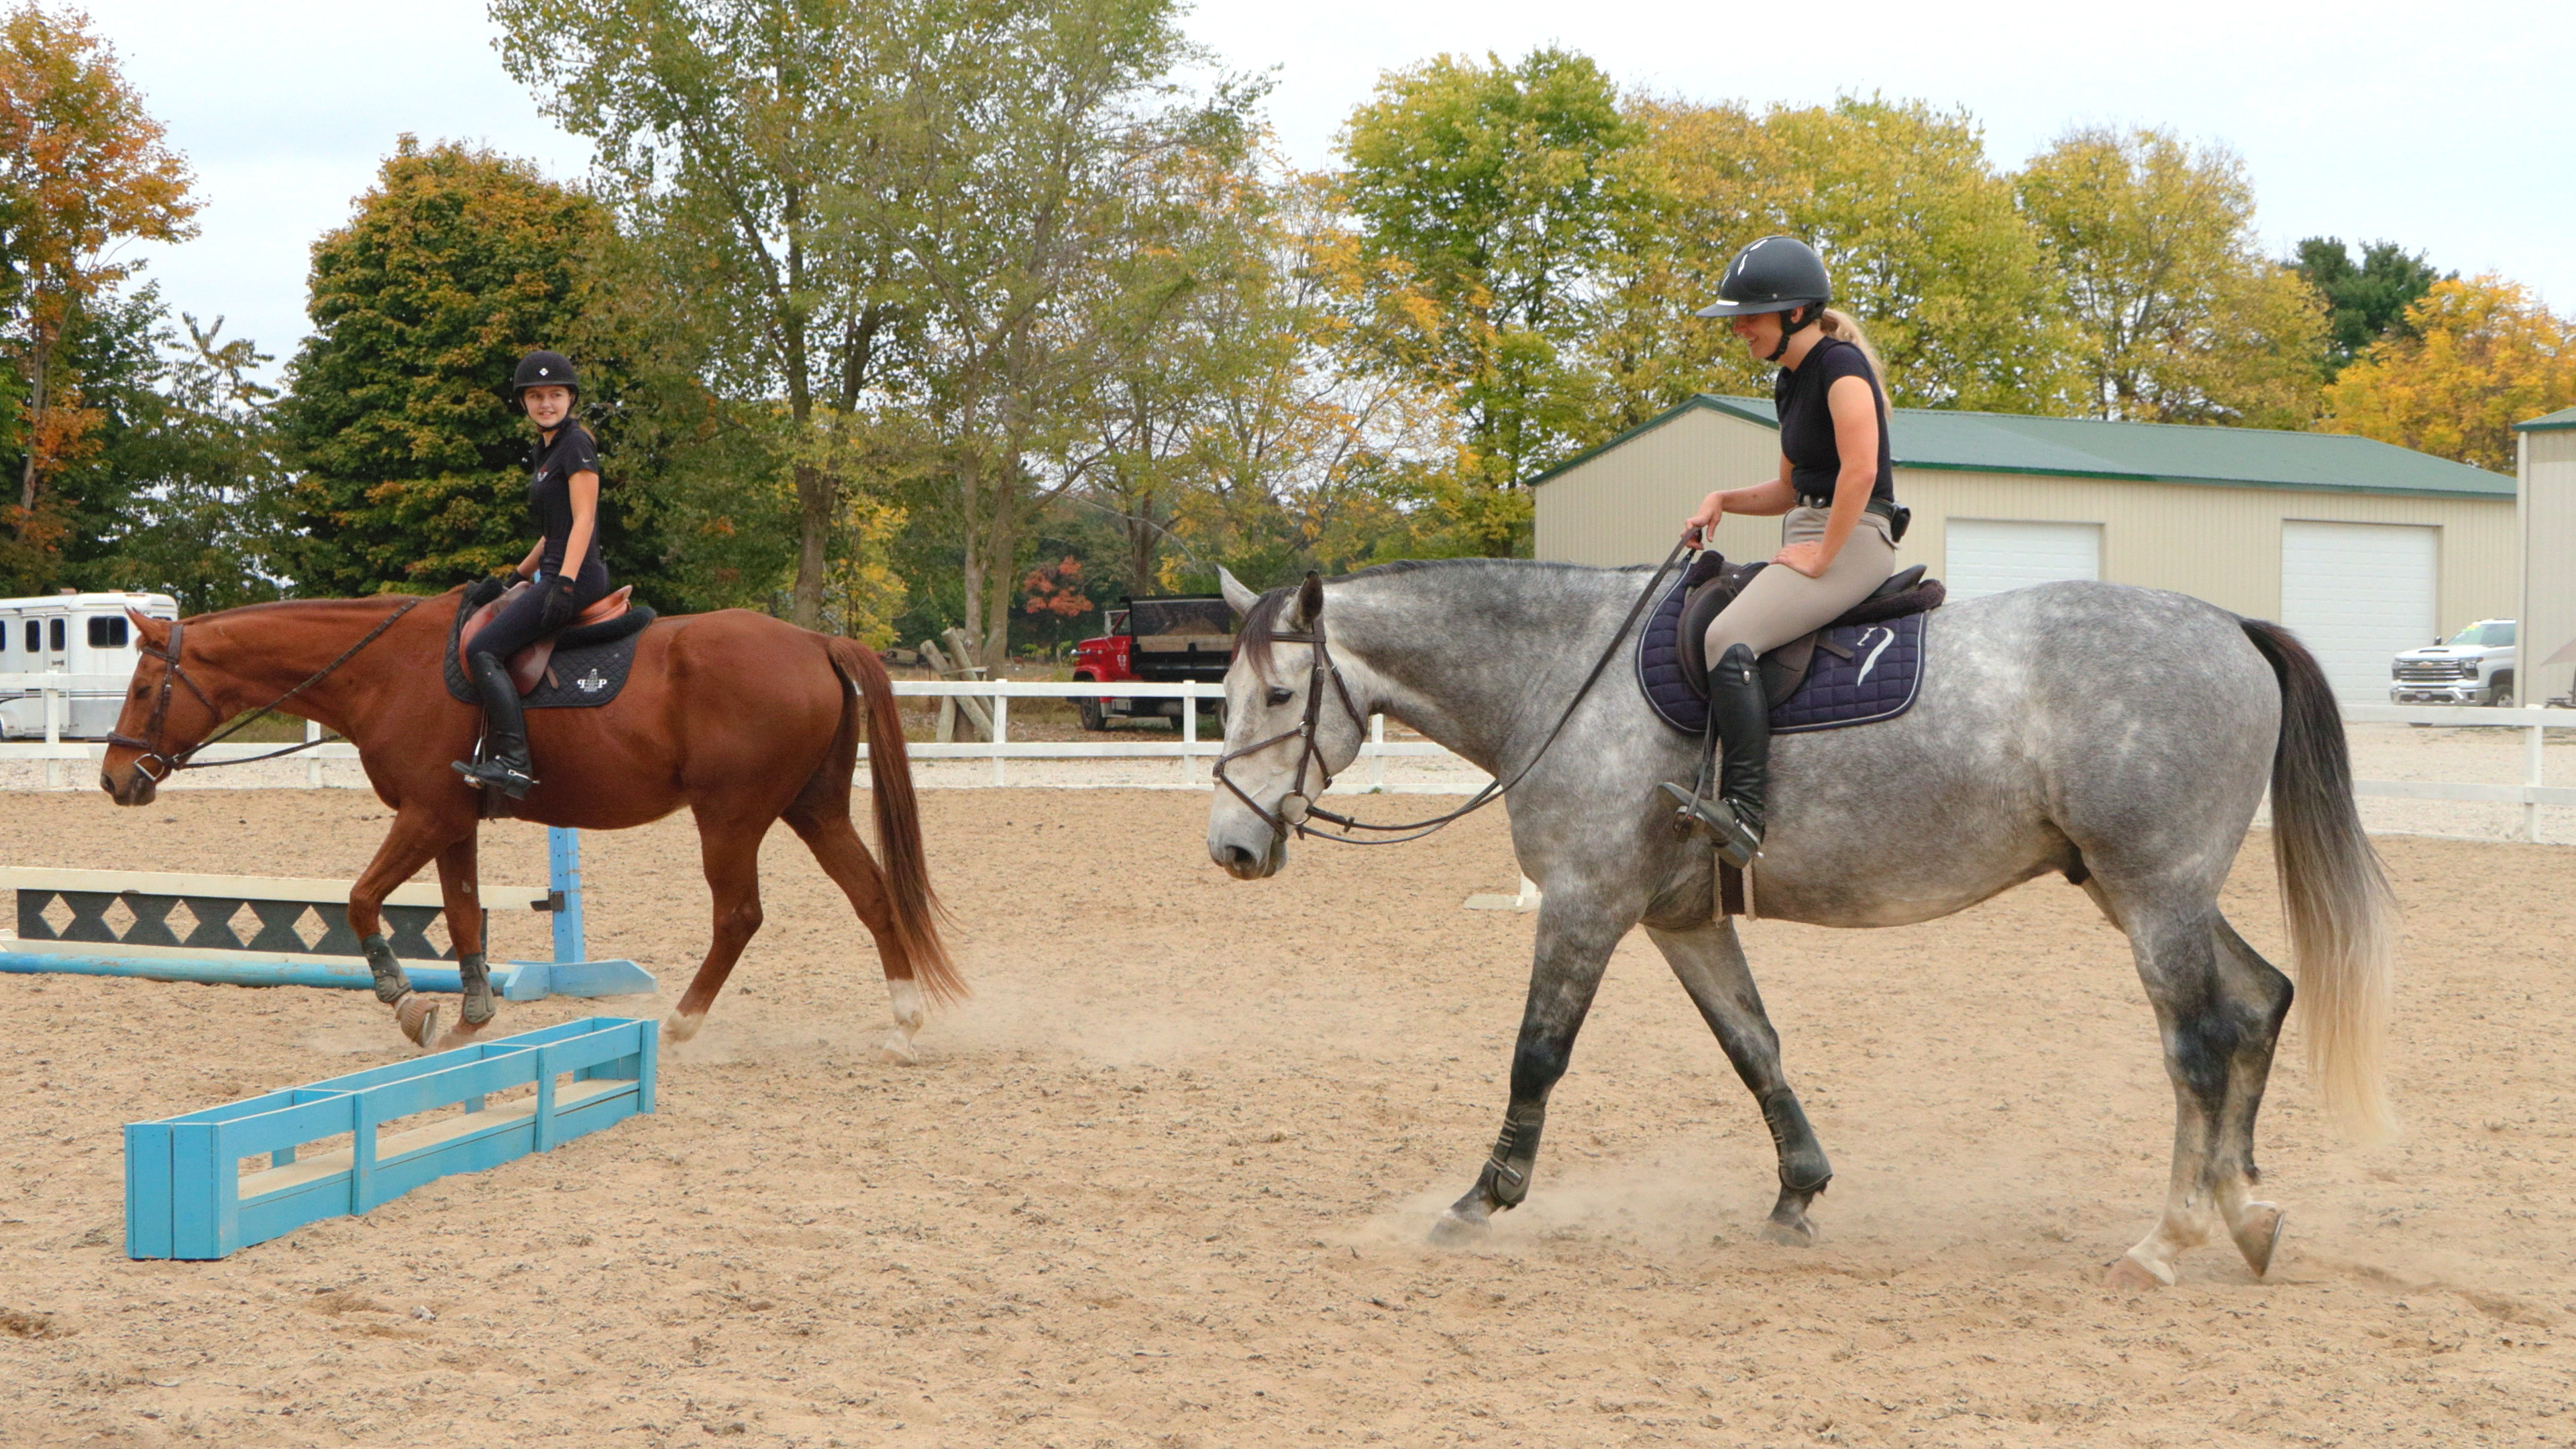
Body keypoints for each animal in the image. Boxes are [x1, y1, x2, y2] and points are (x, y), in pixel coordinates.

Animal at [97, 590, 960, 1056]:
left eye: (141, 689)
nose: (112, 779)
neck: (389, 671)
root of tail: (816, 640)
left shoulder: (426, 813)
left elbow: (362, 900)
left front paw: (407, 1003)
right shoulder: (453, 822)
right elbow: (462, 915)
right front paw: (469, 1018)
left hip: (732, 816)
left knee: (738, 916)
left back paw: (680, 1025)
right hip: (810, 808)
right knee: (873, 896)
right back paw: (903, 1024)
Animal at [1205, 561, 2394, 1289]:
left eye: (1279, 697)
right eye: (1222, 693)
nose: (1231, 850)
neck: (1565, 676)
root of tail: (2231, 629)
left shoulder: (1588, 905)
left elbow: (1537, 1055)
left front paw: (1478, 1202)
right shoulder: (1678, 921)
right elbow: (1754, 1046)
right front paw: (1798, 1193)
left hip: (2154, 895)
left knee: (2198, 1046)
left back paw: (2167, 1240)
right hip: (2143, 893)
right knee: (2260, 1002)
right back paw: (2246, 1211)